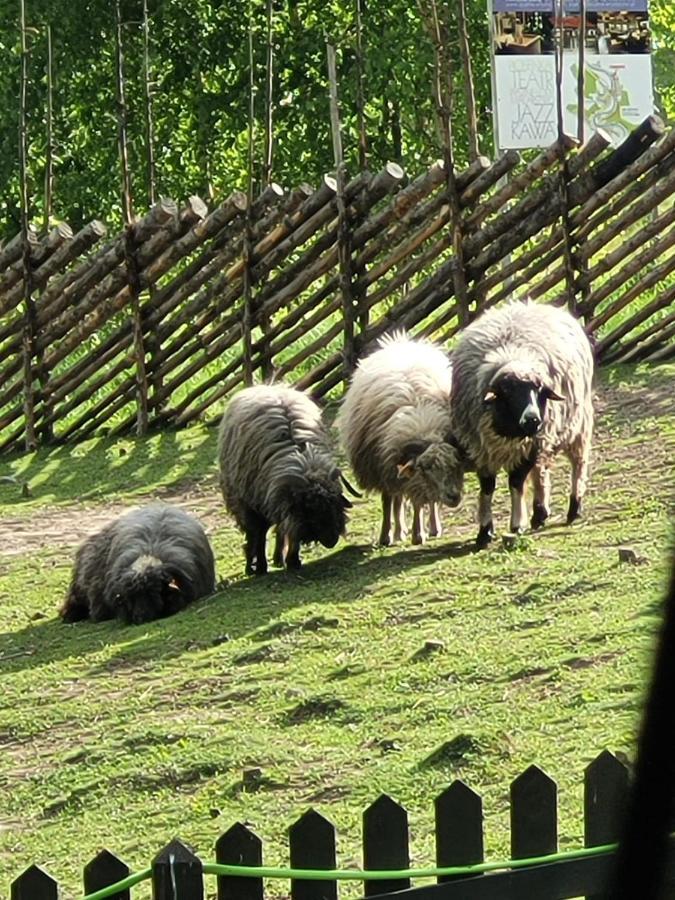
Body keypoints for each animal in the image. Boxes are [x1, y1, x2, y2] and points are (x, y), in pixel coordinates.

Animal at [218, 384, 354, 572]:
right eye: (309, 510)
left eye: (336, 506)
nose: (331, 541)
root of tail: (267, 385)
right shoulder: (256, 504)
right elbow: (260, 535)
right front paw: (260, 567)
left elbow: (290, 531)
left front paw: (292, 560)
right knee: (257, 533)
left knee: (281, 528)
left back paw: (277, 559)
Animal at [336, 328, 464, 540]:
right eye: (426, 468)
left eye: (455, 464)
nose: (454, 497)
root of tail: (398, 342)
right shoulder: (382, 466)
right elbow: (389, 501)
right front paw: (387, 534)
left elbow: (422, 501)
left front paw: (420, 532)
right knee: (397, 499)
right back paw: (398, 532)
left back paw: (431, 527)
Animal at [452, 300, 596, 548]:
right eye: (508, 391)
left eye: (539, 390)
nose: (533, 419)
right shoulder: (482, 449)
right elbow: (487, 488)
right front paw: (484, 531)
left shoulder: (531, 445)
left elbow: (516, 483)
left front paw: (517, 524)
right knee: (541, 471)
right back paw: (540, 513)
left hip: (577, 425)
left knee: (578, 464)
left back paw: (574, 508)